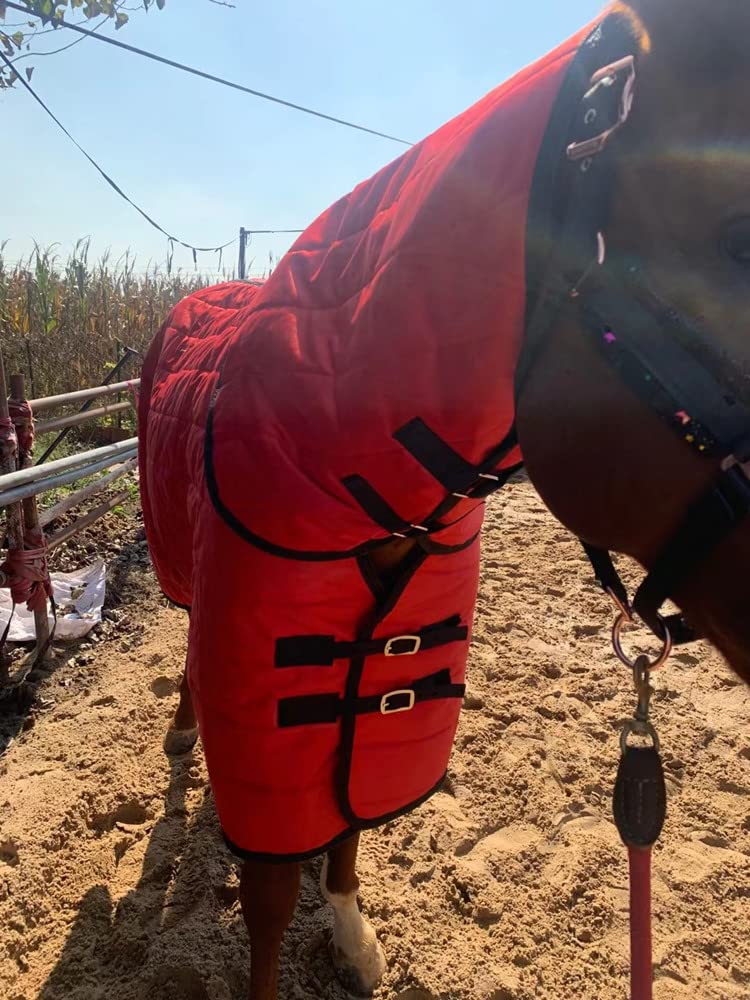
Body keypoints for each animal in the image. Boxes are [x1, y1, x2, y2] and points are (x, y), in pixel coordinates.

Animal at [138, 1, 750, 997]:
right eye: (739, 236)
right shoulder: (262, 680)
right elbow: (269, 896)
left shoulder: (378, 692)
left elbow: (350, 819)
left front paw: (353, 938)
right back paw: (183, 739)